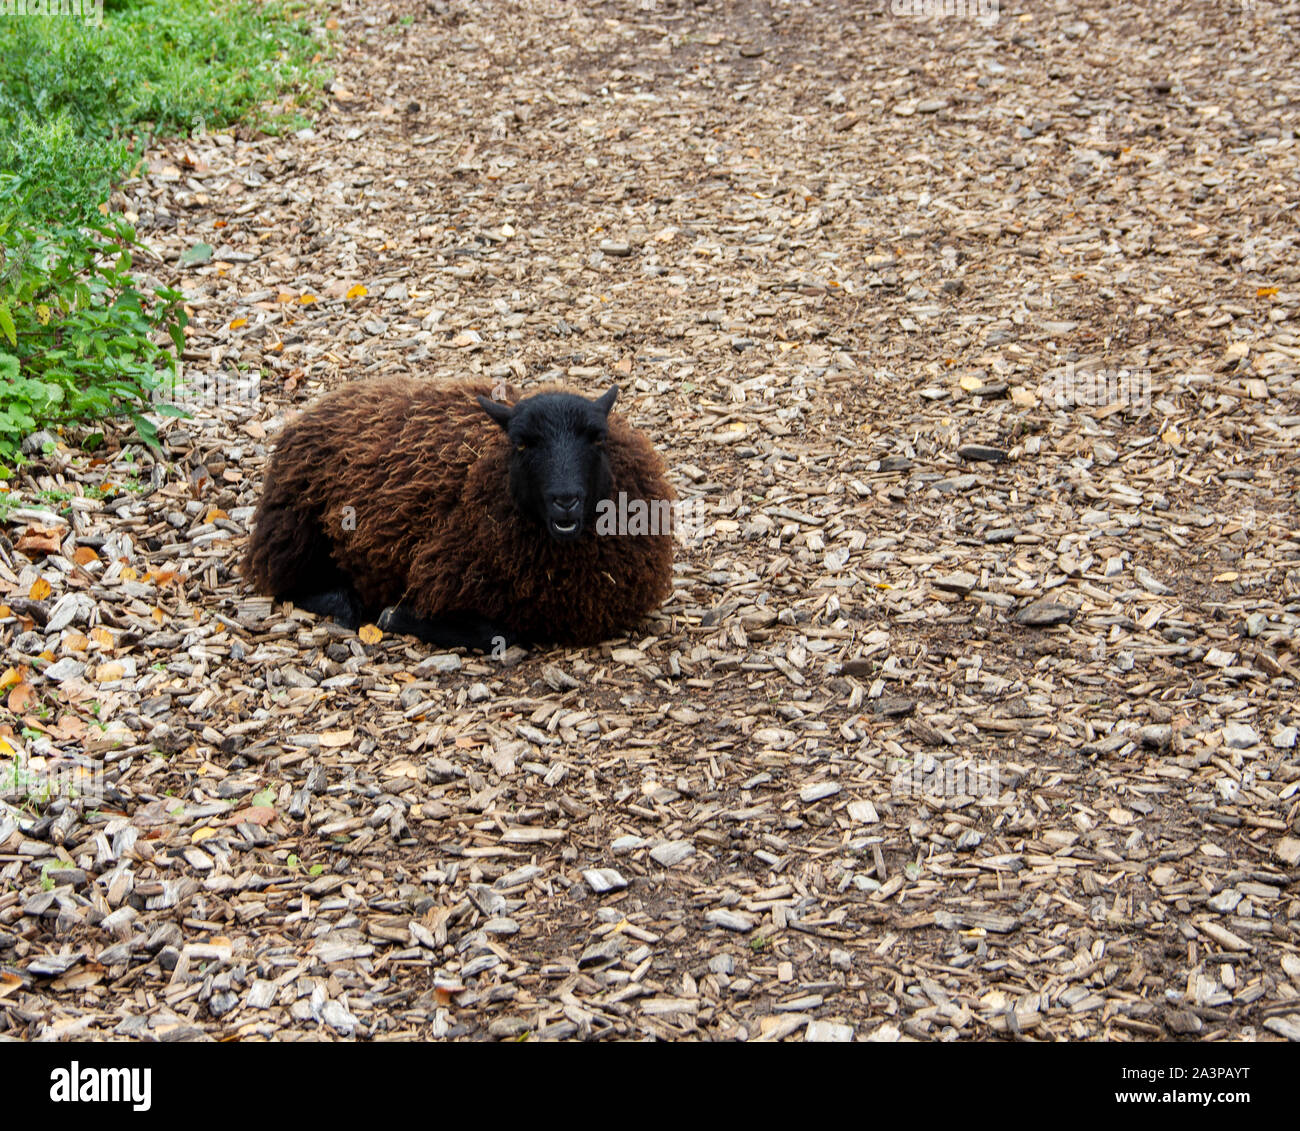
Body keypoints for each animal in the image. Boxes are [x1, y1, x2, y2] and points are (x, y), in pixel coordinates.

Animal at [239, 377, 676, 650]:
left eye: (597, 439)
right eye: (521, 444)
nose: (565, 499)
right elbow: (502, 635)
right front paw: (394, 616)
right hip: (294, 530)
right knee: (286, 584)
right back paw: (347, 601)